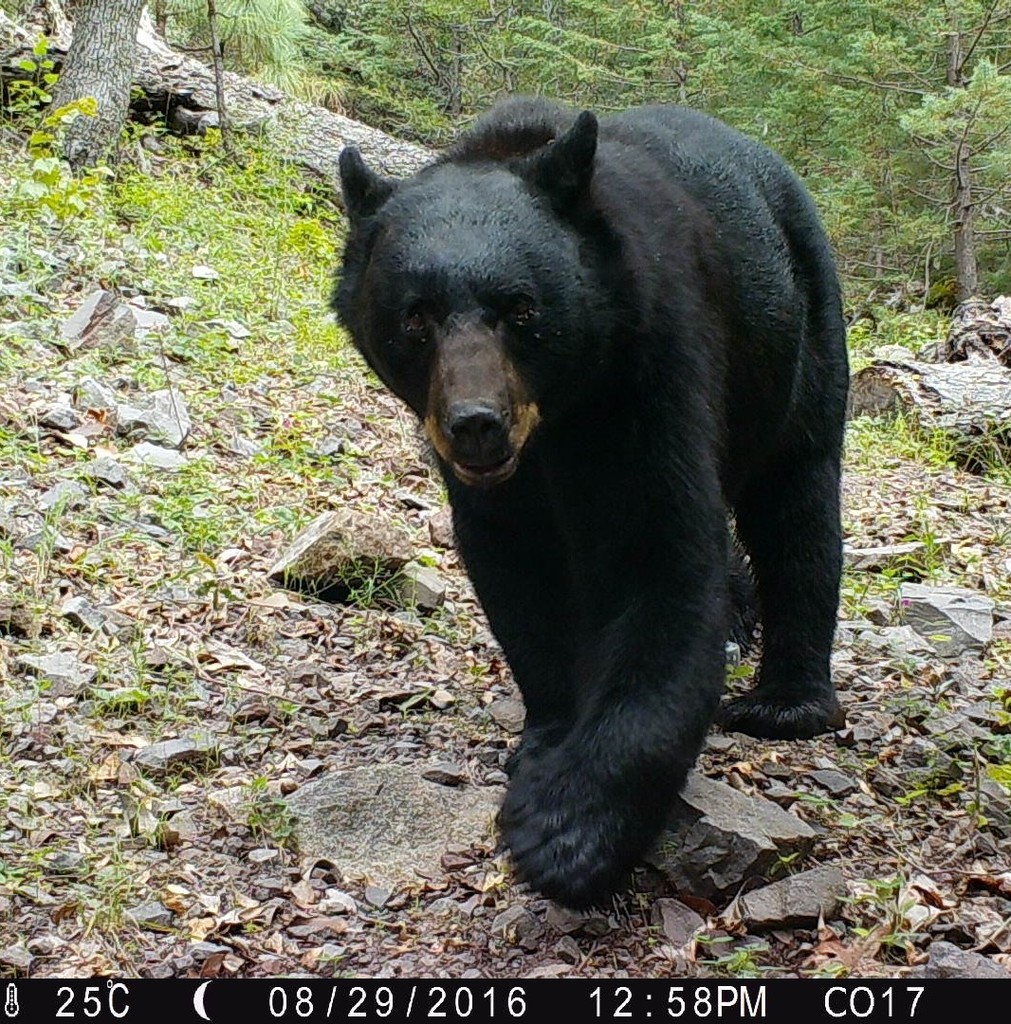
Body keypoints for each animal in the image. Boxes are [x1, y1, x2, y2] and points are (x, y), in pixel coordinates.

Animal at [332, 96, 849, 909]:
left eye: (520, 307)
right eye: (414, 315)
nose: (476, 424)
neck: (558, 420)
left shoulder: (648, 371)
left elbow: (657, 561)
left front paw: (567, 830)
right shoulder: (497, 491)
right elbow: (519, 577)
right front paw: (544, 741)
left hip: (797, 344)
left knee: (797, 509)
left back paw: (785, 702)